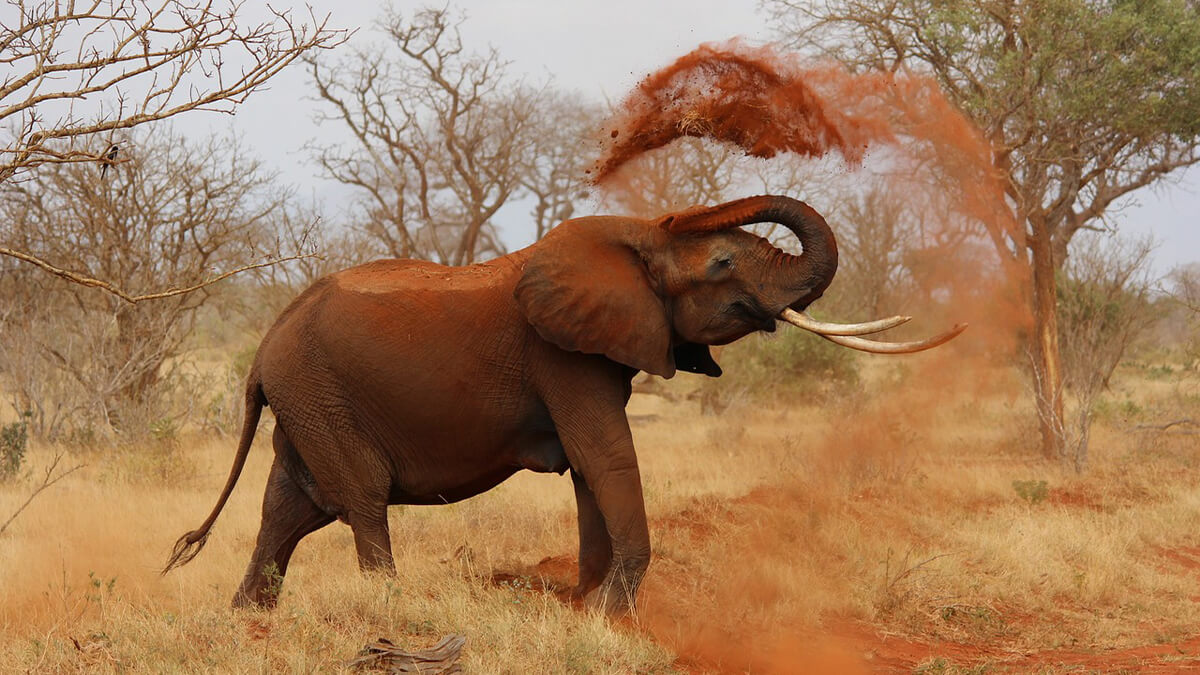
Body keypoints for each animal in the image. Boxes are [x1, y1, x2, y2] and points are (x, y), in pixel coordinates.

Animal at [164, 193, 960, 610]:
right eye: (724, 262)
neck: (634, 238)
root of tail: (264, 346)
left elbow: (588, 469)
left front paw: (586, 603)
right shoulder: (562, 356)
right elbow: (605, 456)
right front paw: (610, 611)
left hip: (306, 398)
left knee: (291, 505)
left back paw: (249, 621)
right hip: (319, 393)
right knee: (358, 497)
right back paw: (388, 607)